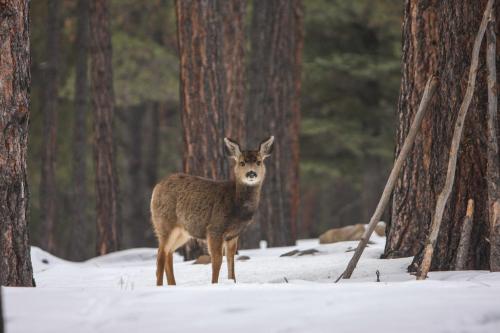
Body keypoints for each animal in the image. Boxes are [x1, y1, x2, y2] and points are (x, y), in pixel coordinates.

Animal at [150, 136, 276, 284]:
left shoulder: (233, 235)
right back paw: (160, 285)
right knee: (160, 255)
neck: (236, 206)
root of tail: (156, 187)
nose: (251, 173)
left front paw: (232, 281)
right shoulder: (215, 228)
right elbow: (217, 261)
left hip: (183, 231)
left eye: (258, 161)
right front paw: (214, 284)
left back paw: (172, 285)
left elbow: (231, 261)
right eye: (242, 163)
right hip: (164, 223)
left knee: (168, 253)